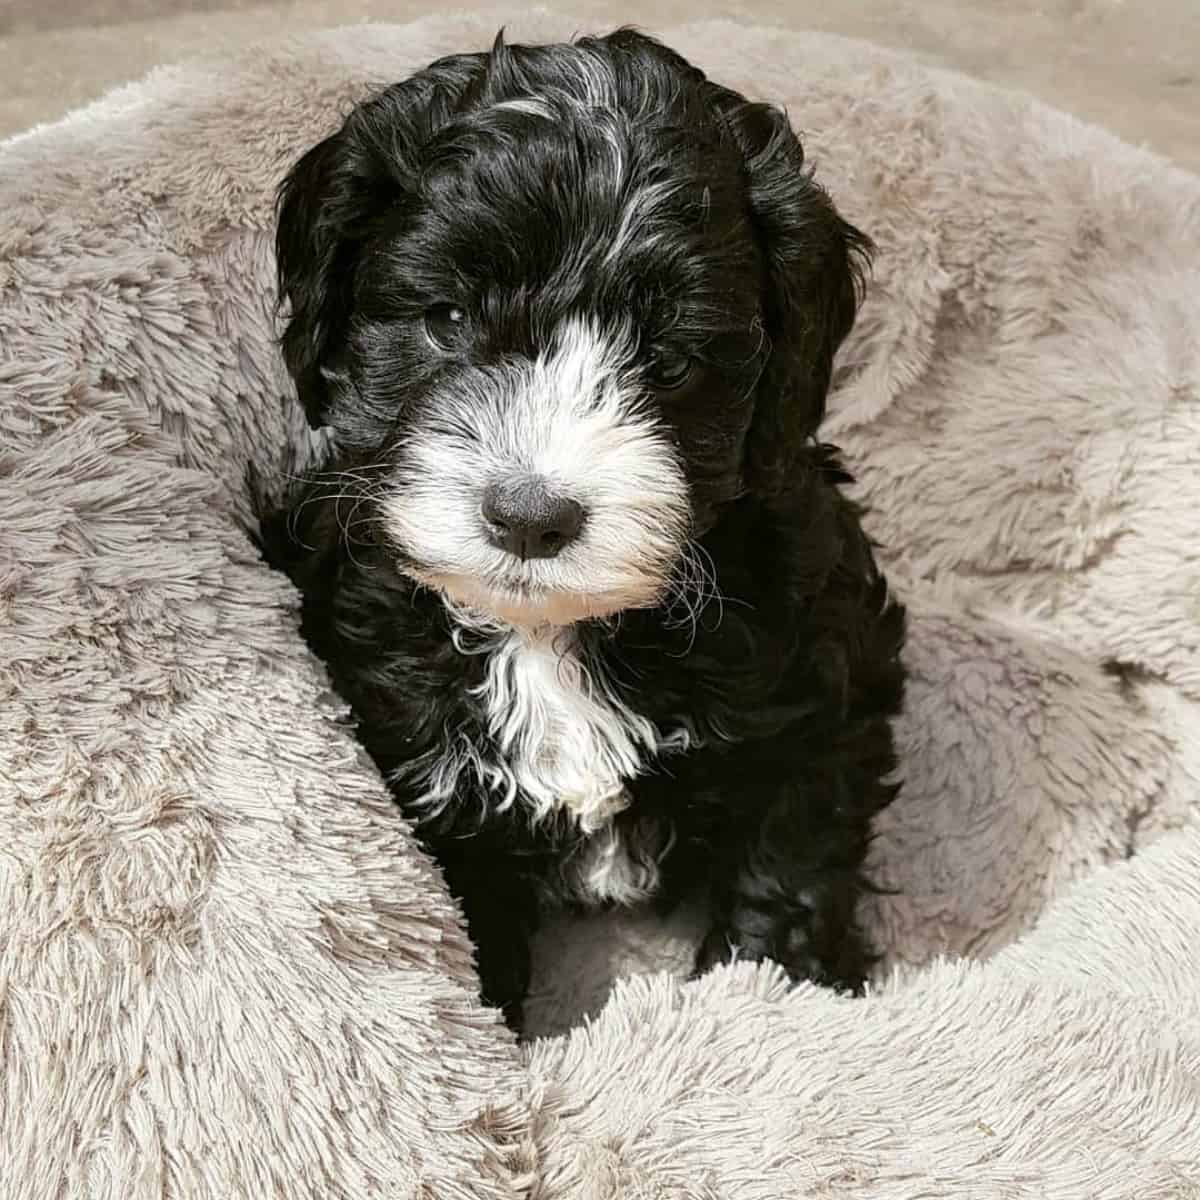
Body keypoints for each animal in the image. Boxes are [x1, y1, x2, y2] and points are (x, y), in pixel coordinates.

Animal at [260, 28, 902, 1027]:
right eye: (447, 317)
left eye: (669, 360)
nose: (530, 517)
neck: (548, 633)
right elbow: (460, 927)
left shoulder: (819, 697)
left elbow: (790, 860)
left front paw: (770, 1001)